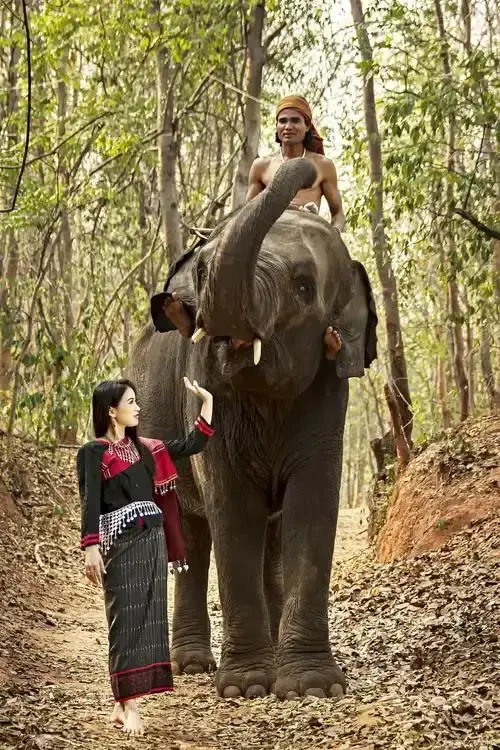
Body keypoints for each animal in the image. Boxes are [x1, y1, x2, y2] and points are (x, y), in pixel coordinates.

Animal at [127, 159, 377, 700]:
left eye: (303, 287)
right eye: (202, 272)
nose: (303, 162)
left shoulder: (327, 397)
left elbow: (311, 506)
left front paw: (310, 688)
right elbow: (233, 508)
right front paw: (245, 688)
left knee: (272, 537)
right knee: (194, 538)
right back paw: (192, 665)